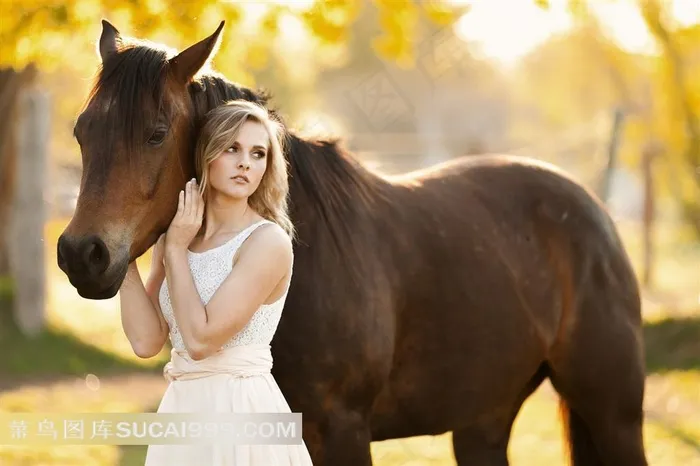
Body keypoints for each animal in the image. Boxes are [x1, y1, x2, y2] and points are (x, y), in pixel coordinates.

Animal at [57, 20, 648, 465]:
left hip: (614, 415)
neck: (309, 256)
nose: (81, 255)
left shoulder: (343, 432)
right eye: (82, 132)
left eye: (157, 133)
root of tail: (592, 210)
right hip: (484, 420)